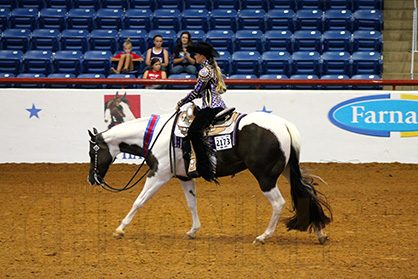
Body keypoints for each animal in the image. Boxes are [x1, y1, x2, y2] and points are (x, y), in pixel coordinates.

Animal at [87, 109, 334, 245]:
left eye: (92, 152)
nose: (92, 179)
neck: (156, 135)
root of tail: (283, 124)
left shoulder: (159, 174)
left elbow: (139, 201)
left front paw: (120, 229)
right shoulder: (184, 177)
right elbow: (192, 203)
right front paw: (193, 231)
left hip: (265, 176)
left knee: (279, 203)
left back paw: (263, 237)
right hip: (286, 170)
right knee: (306, 194)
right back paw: (320, 234)